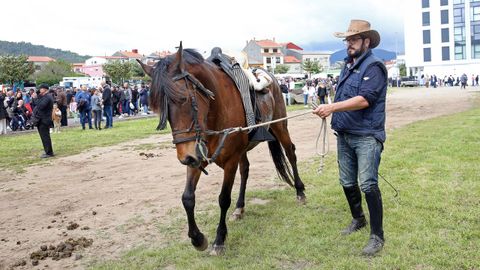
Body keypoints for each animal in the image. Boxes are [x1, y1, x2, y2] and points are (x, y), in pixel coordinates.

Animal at [137, 43, 306, 254]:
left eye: (185, 99)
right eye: (159, 108)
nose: (184, 157)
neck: (214, 111)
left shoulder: (229, 160)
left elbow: (223, 198)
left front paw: (219, 239)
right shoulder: (197, 156)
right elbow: (187, 198)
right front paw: (197, 238)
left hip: (280, 126)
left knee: (290, 153)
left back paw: (300, 191)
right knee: (246, 170)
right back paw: (240, 208)